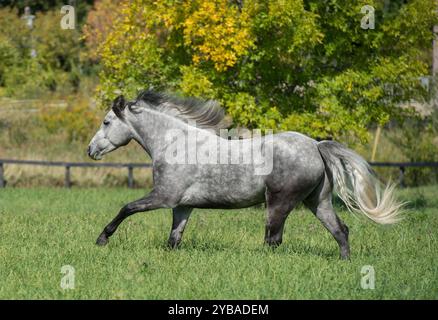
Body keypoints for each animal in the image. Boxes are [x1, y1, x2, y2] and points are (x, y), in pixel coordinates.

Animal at [87, 89, 402, 258]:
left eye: (106, 122)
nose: (91, 150)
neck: (175, 143)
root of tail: (315, 145)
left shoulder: (163, 197)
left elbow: (126, 208)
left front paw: (102, 239)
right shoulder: (182, 206)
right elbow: (174, 239)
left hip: (279, 202)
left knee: (273, 239)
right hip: (317, 202)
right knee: (340, 230)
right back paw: (344, 262)